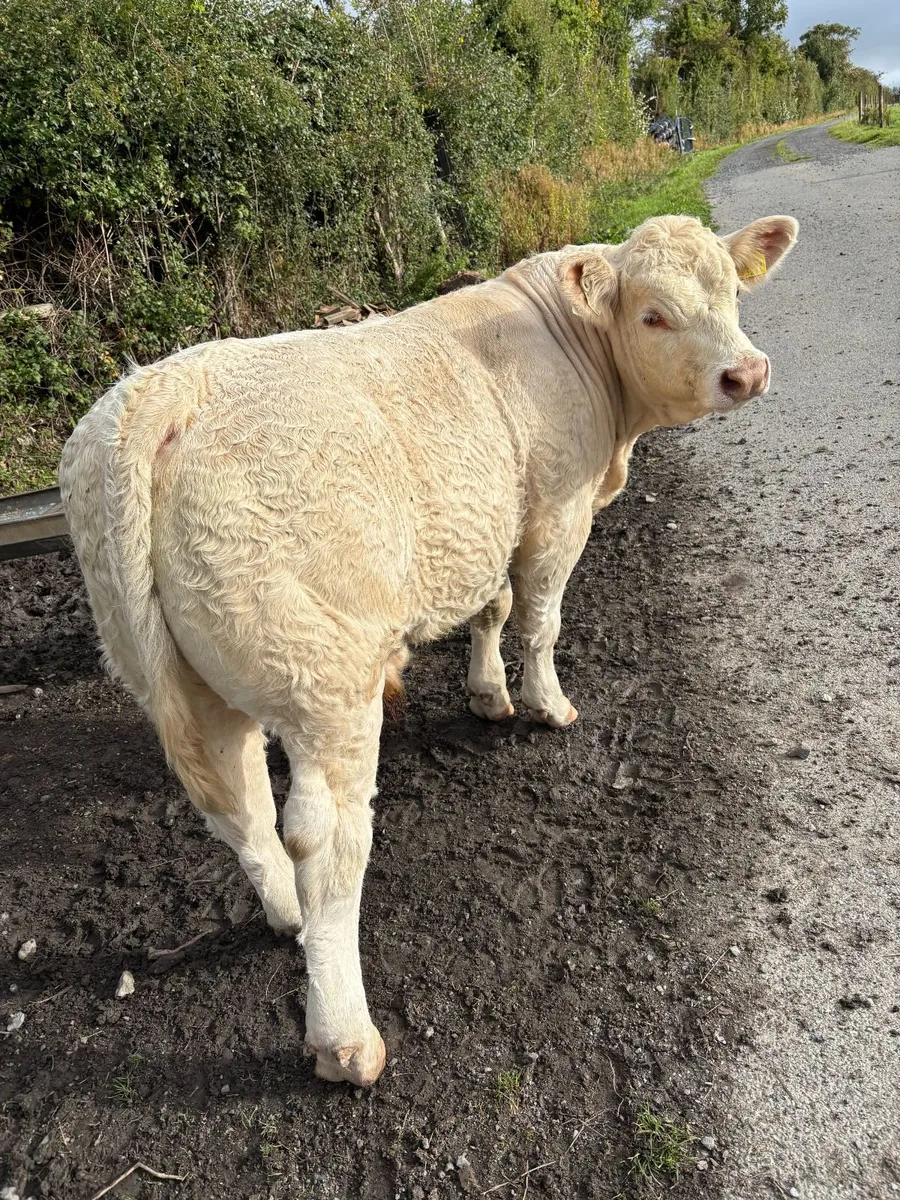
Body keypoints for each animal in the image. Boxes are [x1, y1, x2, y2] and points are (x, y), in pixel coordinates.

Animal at [59, 213, 798, 1087]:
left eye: (732, 294)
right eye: (653, 315)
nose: (745, 373)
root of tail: (161, 389)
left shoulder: (490, 521)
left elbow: (492, 607)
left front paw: (486, 693)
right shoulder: (555, 514)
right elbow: (539, 618)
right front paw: (546, 705)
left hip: (186, 676)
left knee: (240, 806)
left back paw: (288, 917)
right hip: (324, 683)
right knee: (324, 838)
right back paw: (345, 1037)